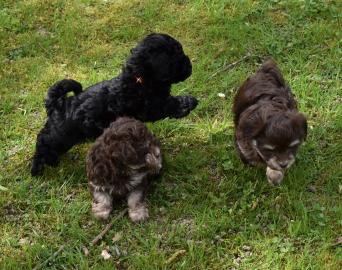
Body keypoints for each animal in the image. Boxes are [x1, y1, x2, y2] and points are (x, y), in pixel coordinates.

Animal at [32, 33, 198, 175]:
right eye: (178, 58)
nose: (190, 66)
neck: (138, 78)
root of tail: (57, 104)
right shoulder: (150, 106)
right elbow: (170, 104)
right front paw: (189, 102)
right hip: (60, 135)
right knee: (43, 142)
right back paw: (37, 167)